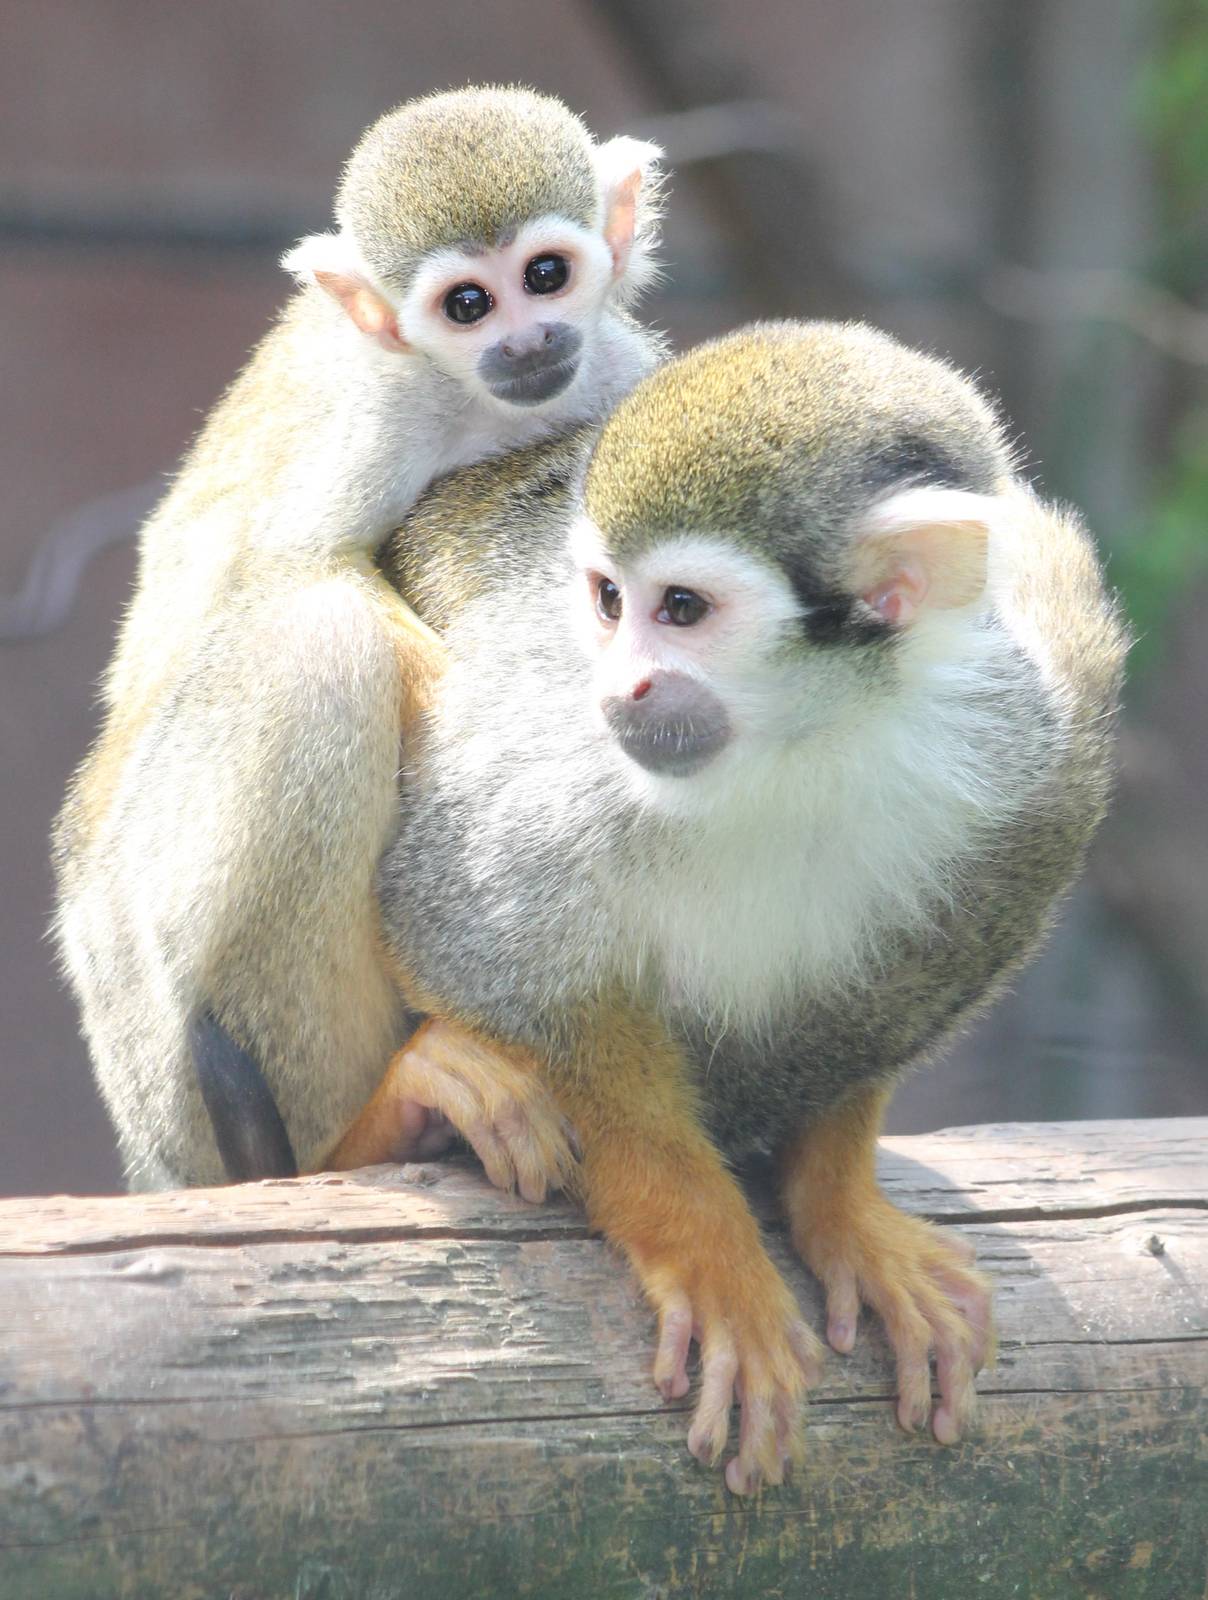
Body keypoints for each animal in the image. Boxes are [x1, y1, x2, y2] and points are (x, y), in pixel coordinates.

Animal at [51, 86, 664, 1191]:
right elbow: (295, 570)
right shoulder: (386, 408)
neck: (475, 402)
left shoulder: (610, 362)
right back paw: (365, 1131)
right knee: (316, 647)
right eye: (467, 306)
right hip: (153, 1032)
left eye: (545, 276)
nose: (528, 342)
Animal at [368, 320, 1127, 1493]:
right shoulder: (551, 740)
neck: (800, 741)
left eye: (682, 609)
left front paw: (839, 1201)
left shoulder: (1023, 746)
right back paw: (406, 1102)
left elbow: (911, 978)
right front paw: (706, 1245)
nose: (622, 686)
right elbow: (486, 950)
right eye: (606, 601)